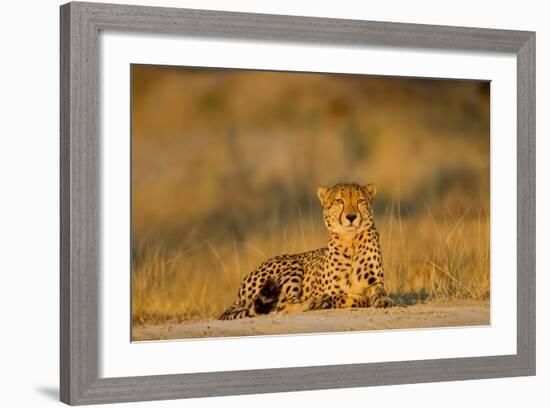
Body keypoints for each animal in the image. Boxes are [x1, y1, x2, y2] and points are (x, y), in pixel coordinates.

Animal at [220, 183, 392, 320]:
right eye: (339, 201)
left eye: (360, 201)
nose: (351, 217)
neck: (350, 241)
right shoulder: (325, 291)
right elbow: (343, 297)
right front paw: (337, 300)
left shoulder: (375, 282)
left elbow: (379, 292)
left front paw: (383, 300)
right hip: (292, 266)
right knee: (283, 305)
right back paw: (314, 303)